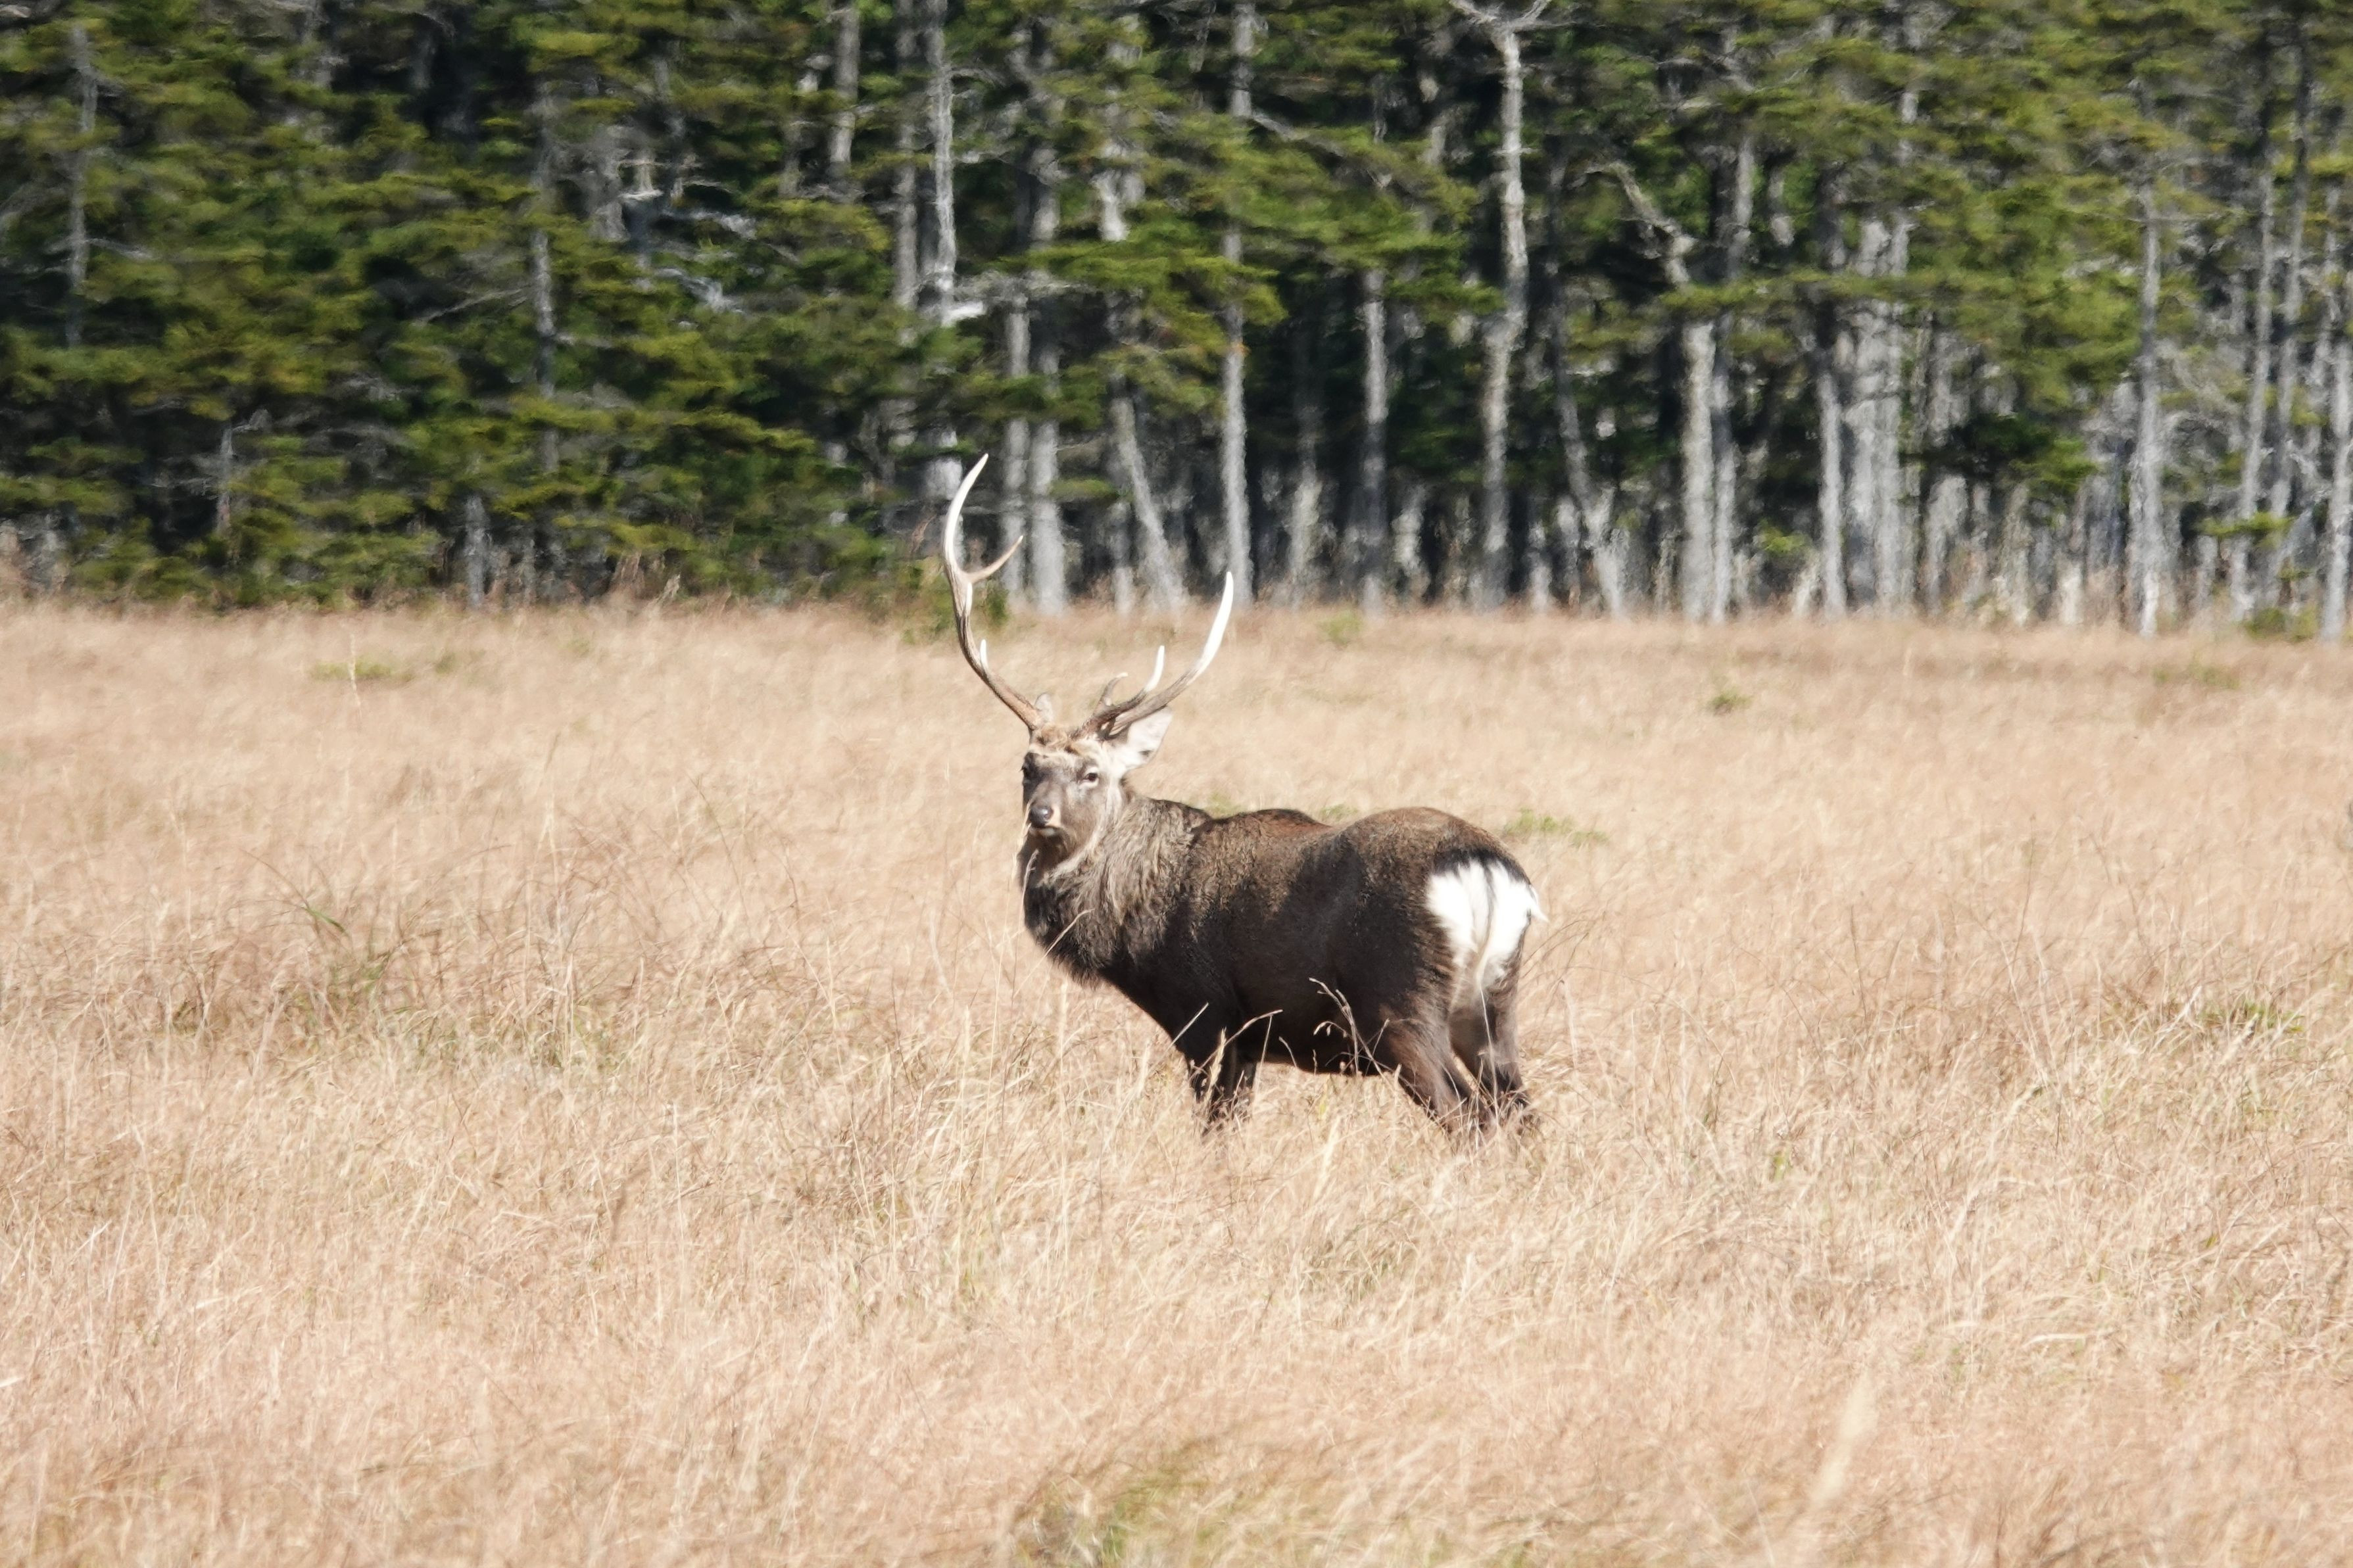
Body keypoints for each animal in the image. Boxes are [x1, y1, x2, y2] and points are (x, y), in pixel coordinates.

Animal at [941, 456, 1541, 1133]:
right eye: (1027, 765)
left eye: (1092, 773)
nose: (1041, 816)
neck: (1135, 926)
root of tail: (1486, 870)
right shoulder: (1251, 1035)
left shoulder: (1205, 1012)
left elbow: (1215, 1128)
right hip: (1494, 1000)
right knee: (1520, 1113)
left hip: (1399, 1005)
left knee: (1470, 1117)